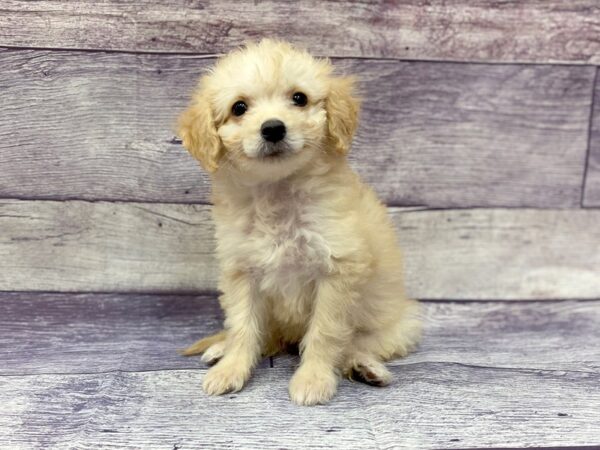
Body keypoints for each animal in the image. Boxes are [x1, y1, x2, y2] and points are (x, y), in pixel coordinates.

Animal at [178, 38, 422, 406]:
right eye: (239, 107)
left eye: (299, 98)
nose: (273, 128)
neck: (278, 191)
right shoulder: (241, 271)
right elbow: (243, 326)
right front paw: (231, 369)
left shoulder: (337, 271)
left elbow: (325, 332)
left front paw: (313, 379)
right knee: (266, 336)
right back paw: (220, 349)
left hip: (397, 323)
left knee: (358, 344)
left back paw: (365, 368)